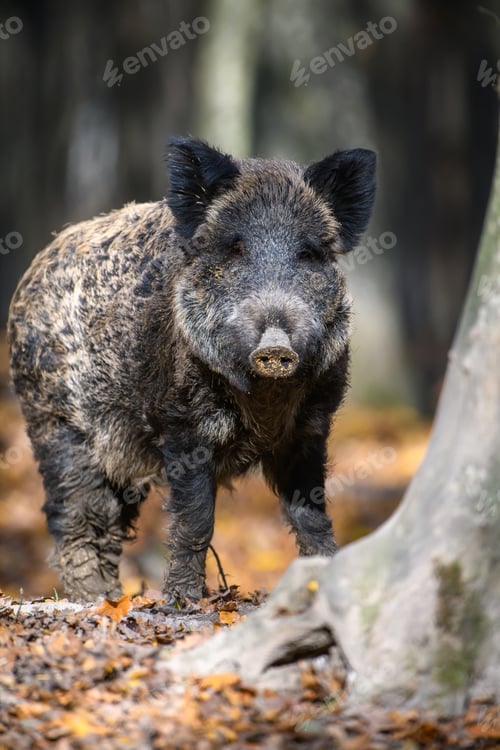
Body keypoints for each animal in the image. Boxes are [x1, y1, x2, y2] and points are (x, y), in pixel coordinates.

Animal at [8, 137, 376, 603]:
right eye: (235, 248)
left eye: (308, 252)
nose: (275, 347)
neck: (264, 403)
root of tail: (34, 271)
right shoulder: (180, 424)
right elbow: (196, 518)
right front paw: (183, 601)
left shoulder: (312, 426)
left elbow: (311, 514)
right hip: (53, 421)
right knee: (73, 512)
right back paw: (93, 598)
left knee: (109, 520)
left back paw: (113, 598)